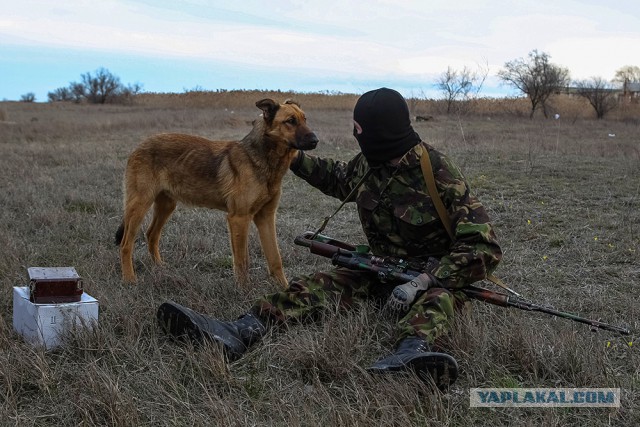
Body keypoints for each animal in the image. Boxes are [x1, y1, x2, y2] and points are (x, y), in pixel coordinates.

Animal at [115, 99, 318, 288]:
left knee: (151, 235)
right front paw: (243, 290)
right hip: (140, 205)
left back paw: (159, 267)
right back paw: (129, 278)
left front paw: (284, 288)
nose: (316, 140)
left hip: (166, 205)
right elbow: (242, 261)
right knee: (126, 244)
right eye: (290, 121)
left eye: (305, 119)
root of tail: (140, 145)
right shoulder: (239, 218)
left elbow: (275, 259)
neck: (265, 160)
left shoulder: (266, 217)